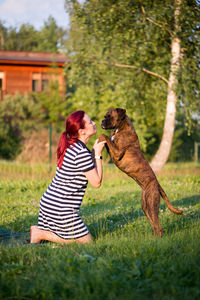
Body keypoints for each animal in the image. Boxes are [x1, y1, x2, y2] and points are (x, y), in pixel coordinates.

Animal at [100, 106, 183, 236]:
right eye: (105, 117)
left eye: (110, 117)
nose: (102, 122)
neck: (121, 128)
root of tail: (157, 184)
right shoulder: (113, 151)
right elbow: (109, 140)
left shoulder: (117, 152)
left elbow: (106, 137)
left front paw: (101, 136)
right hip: (145, 207)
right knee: (155, 224)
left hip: (151, 204)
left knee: (158, 225)